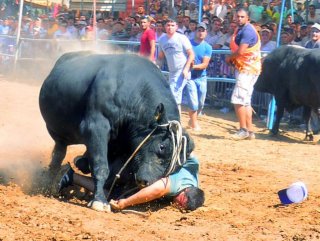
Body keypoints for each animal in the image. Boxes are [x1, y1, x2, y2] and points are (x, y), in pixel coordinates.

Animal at [38, 51, 194, 210]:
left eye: (176, 166)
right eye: (162, 146)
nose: (145, 182)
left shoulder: (120, 146)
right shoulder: (96, 128)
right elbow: (101, 166)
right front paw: (99, 200)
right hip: (59, 134)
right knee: (58, 155)